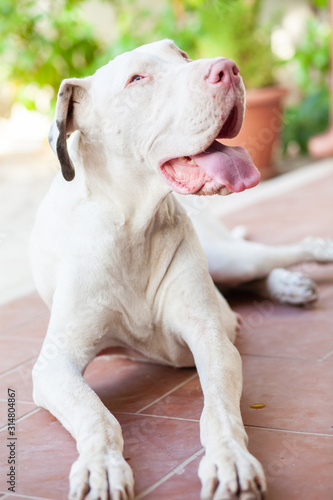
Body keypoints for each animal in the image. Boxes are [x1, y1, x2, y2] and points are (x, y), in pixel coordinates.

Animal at [29, 40, 332, 500]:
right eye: (137, 79)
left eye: (184, 55)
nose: (228, 68)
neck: (132, 226)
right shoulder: (53, 365)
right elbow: (96, 415)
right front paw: (101, 465)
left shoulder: (212, 340)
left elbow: (219, 410)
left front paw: (230, 459)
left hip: (230, 257)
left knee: (271, 257)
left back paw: (305, 266)